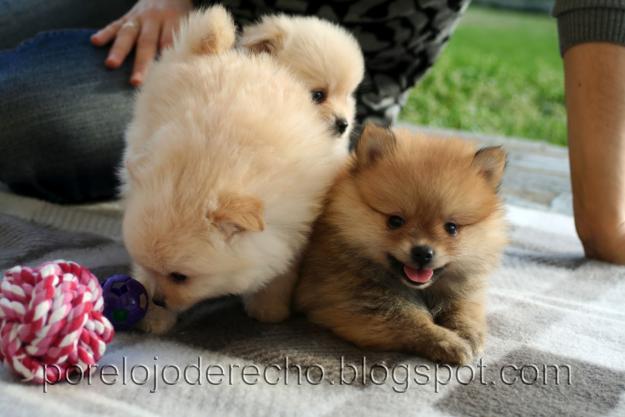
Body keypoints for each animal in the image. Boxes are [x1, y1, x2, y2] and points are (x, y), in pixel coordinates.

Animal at [118, 5, 352, 332]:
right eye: (151, 269)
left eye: (180, 277)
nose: (160, 300)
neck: (203, 171)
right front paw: (153, 316)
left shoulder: (293, 222)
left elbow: (281, 268)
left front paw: (268, 307)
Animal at [294, 124, 508, 364]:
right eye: (395, 221)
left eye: (451, 228)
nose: (423, 253)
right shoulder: (348, 301)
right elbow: (409, 319)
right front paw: (447, 342)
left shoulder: (463, 290)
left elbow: (465, 309)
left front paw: (468, 333)